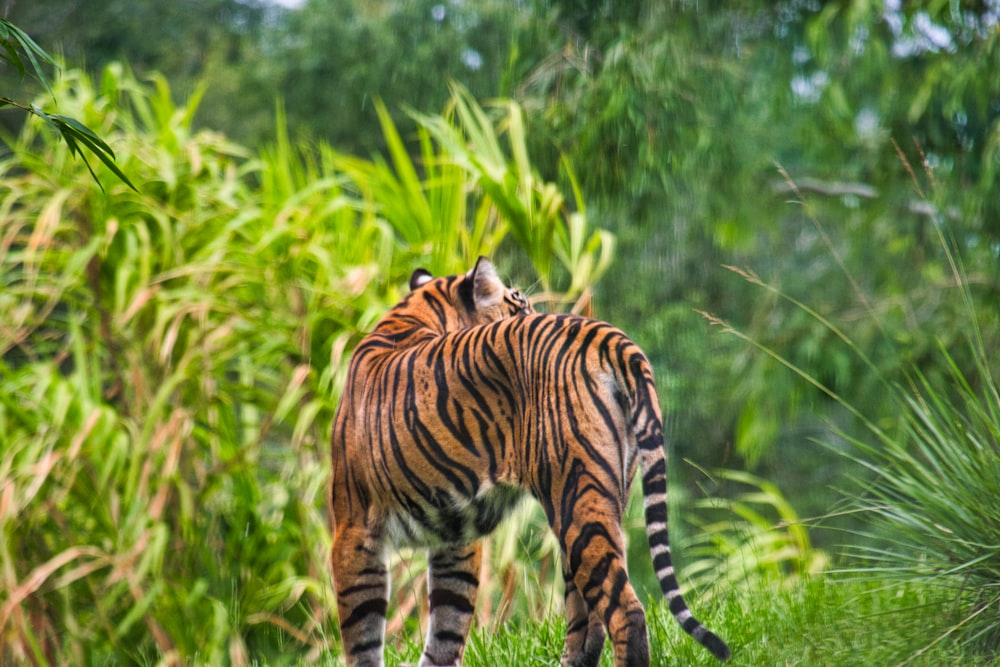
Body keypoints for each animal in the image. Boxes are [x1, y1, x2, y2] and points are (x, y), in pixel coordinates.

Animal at [332, 258, 732, 667]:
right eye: (520, 306)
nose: (535, 314)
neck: (411, 315)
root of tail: (601, 332)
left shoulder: (354, 529)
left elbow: (364, 636)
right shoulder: (453, 540)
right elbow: (446, 627)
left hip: (575, 498)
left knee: (624, 612)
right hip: (596, 505)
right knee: (587, 621)